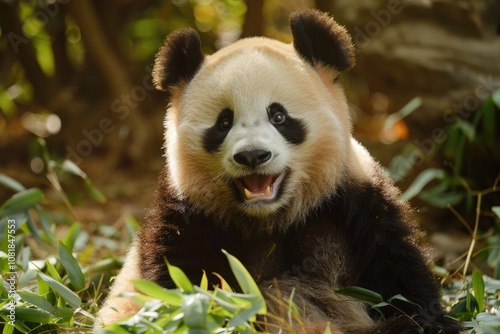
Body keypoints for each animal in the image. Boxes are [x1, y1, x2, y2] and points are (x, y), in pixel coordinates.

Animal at [99, 9, 462, 332]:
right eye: (223, 123)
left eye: (279, 116)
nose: (252, 155)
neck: (271, 217)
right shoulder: (185, 215)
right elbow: (179, 289)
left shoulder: (354, 200)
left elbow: (398, 273)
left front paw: (427, 319)